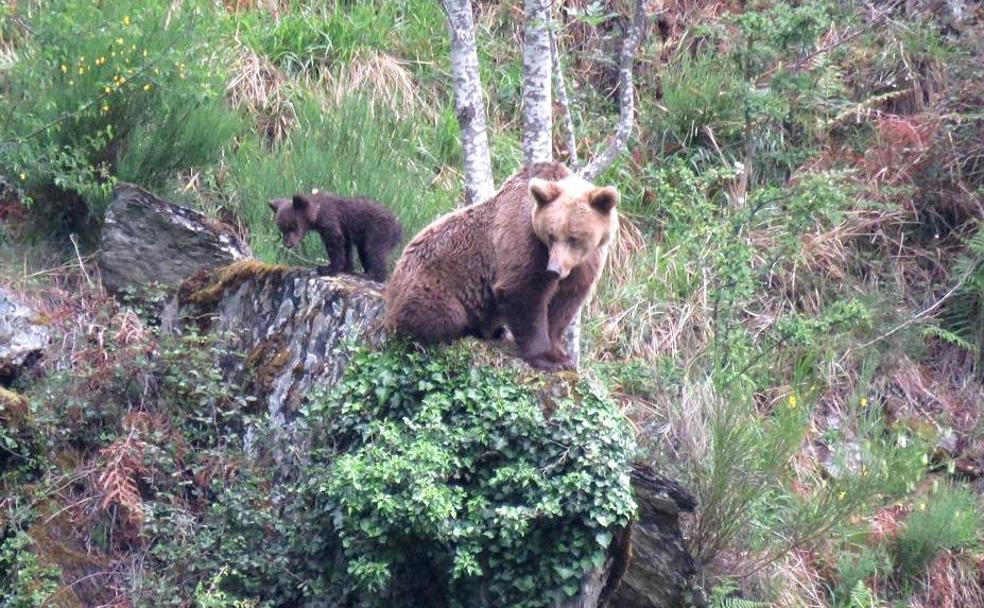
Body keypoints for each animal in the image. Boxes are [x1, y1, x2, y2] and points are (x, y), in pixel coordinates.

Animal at [268, 191, 402, 282]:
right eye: (281, 228)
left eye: (293, 226)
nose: (288, 244)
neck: (317, 212)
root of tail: (398, 229)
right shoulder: (344, 230)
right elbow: (346, 246)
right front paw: (347, 267)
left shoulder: (330, 219)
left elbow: (335, 242)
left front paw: (327, 268)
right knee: (365, 252)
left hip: (377, 231)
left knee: (374, 251)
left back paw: (373, 275)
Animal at [382, 162, 620, 370]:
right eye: (551, 235)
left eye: (573, 238)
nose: (554, 270)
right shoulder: (525, 240)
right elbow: (525, 292)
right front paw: (546, 358)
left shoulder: (586, 263)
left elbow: (565, 304)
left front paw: (561, 354)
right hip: (432, 285)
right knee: (439, 315)